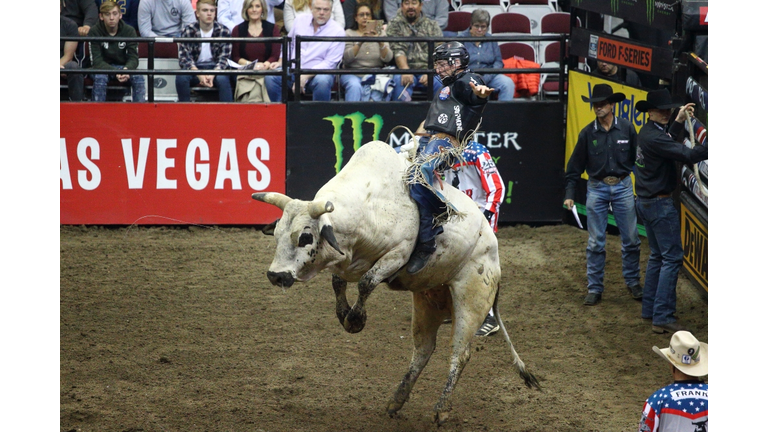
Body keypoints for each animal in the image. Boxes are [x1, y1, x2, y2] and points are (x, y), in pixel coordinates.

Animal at [252, 140, 540, 424]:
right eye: (276, 234)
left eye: (305, 237)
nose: (275, 275)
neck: (370, 205)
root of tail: (494, 253)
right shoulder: (346, 260)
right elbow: (338, 282)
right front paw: (344, 313)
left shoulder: (397, 255)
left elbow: (366, 282)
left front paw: (355, 320)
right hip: (428, 301)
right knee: (423, 349)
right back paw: (396, 401)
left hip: (472, 300)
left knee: (460, 353)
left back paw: (441, 409)